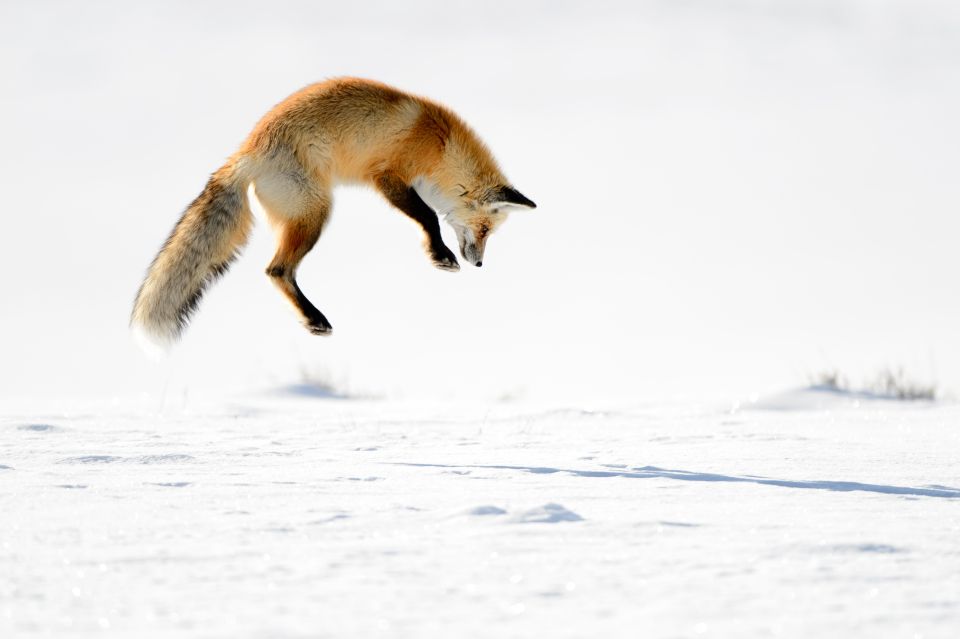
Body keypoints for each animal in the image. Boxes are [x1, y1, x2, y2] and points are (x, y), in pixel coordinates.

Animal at [129, 78, 532, 352]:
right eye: (485, 228)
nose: (479, 264)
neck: (440, 144)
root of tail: (247, 152)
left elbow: (428, 216)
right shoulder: (388, 175)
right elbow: (429, 216)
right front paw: (441, 256)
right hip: (315, 214)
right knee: (277, 270)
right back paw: (314, 319)